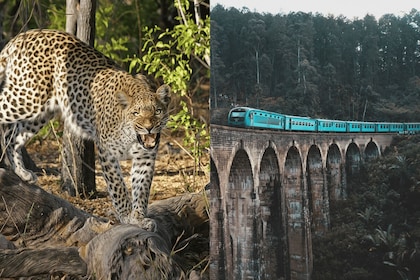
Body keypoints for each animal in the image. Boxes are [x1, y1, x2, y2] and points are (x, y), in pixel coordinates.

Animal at [0, 29, 172, 229]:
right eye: (136, 113)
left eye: (158, 111)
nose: (149, 128)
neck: (131, 136)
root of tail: (23, 35)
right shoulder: (107, 153)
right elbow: (118, 188)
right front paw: (126, 217)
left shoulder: (145, 157)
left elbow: (141, 189)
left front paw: (138, 218)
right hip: (27, 97)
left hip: (41, 112)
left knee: (13, 137)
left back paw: (22, 173)